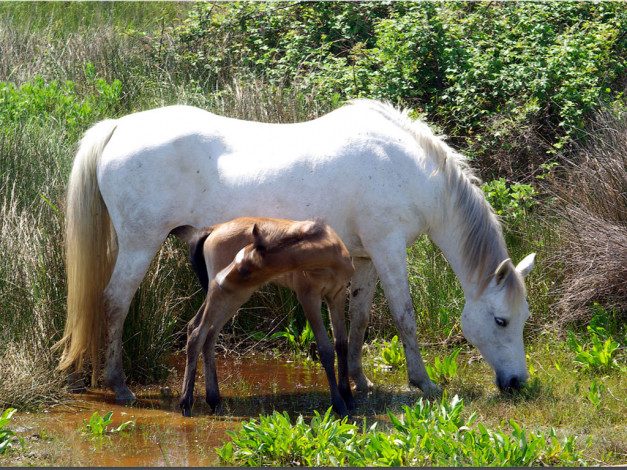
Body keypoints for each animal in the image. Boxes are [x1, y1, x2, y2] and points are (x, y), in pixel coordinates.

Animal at [56, 98, 536, 400]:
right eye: (500, 319)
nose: (517, 382)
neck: (410, 169)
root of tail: (119, 127)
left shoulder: (365, 258)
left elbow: (359, 321)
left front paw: (360, 381)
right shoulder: (389, 249)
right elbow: (405, 318)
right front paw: (424, 383)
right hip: (140, 244)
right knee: (114, 302)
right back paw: (119, 385)